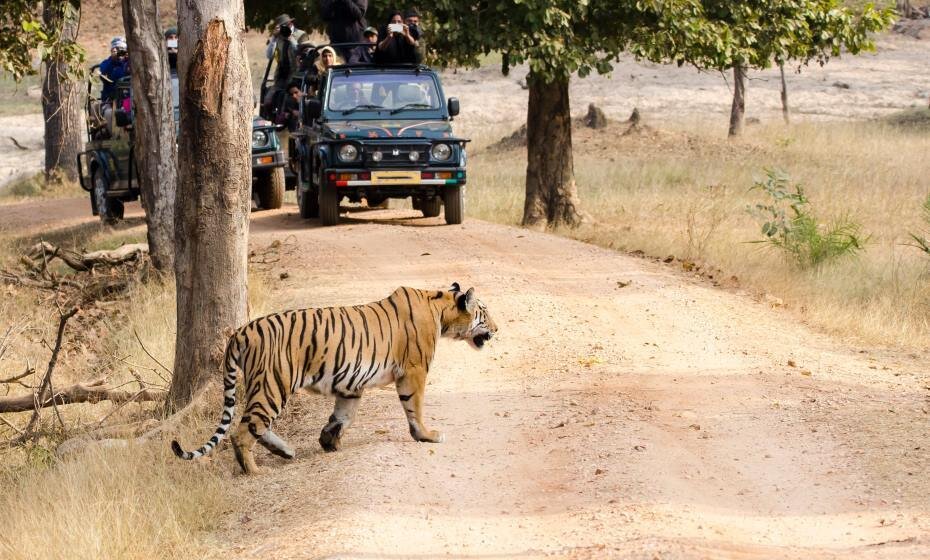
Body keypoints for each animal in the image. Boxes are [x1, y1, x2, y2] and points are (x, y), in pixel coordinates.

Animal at [170, 284, 496, 472]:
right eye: (484, 312)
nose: (497, 328)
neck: (440, 309)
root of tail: (240, 331)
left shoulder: (352, 385)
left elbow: (342, 416)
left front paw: (329, 442)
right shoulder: (414, 371)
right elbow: (414, 408)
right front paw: (427, 435)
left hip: (265, 387)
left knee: (253, 425)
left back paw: (285, 451)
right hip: (273, 385)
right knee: (243, 430)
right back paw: (254, 471)